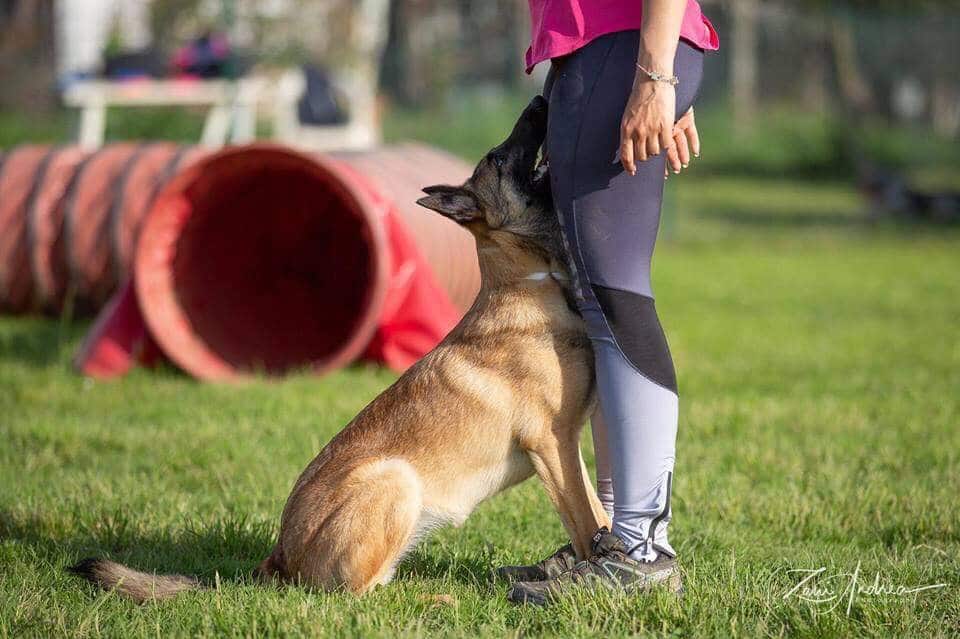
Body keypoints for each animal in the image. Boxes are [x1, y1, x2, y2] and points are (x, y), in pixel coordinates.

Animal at [71, 95, 608, 600]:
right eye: (498, 159)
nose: (540, 101)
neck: (530, 281)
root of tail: (277, 560)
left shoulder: (565, 444)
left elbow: (597, 511)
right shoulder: (551, 443)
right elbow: (588, 521)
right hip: (395, 480)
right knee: (358, 594)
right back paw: (435, 598)